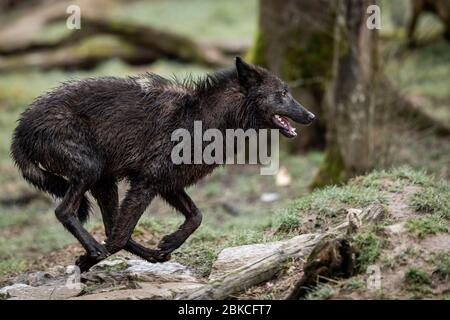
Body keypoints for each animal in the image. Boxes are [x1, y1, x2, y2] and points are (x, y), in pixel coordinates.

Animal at [9, 57, 312, 270]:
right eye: (282, 94)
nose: (311, 115)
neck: (203, 118)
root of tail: (20, 129)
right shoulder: (146, 183)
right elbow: (120, 236)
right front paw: (86, 262)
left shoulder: (168, 185)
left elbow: (196, 216)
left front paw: (169, 242)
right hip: (91, 172)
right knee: (66, 212)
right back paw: (96, 251)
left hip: (105, 182)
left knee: (109, 227)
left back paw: (151, 255)